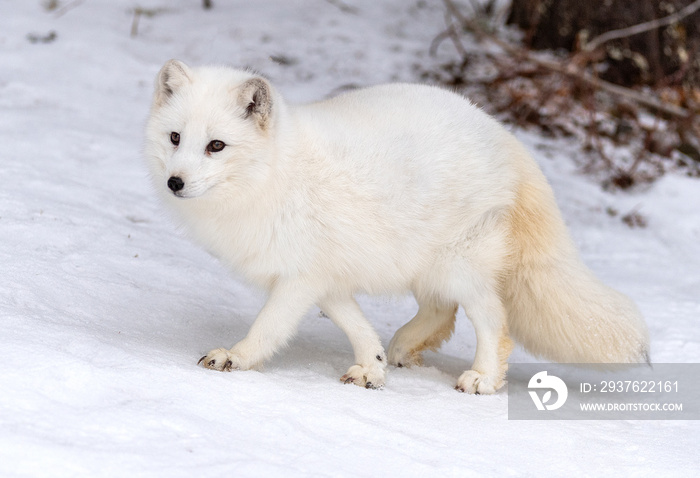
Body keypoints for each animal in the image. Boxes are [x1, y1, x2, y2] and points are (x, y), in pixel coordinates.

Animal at [144, 59, 652, 394]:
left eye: (216, 146)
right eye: (175, 138)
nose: (175, 182)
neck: (273, 176)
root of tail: (507, 138)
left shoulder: (299, 277)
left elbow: (268, 328)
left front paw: (236, 357)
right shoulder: (324, 278)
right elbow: (356, 325)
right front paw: (372, 367)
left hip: (459, 265)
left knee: (494, 321)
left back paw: (484, 378)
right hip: (424, 263)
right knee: (441, 312)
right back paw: (405, 348)